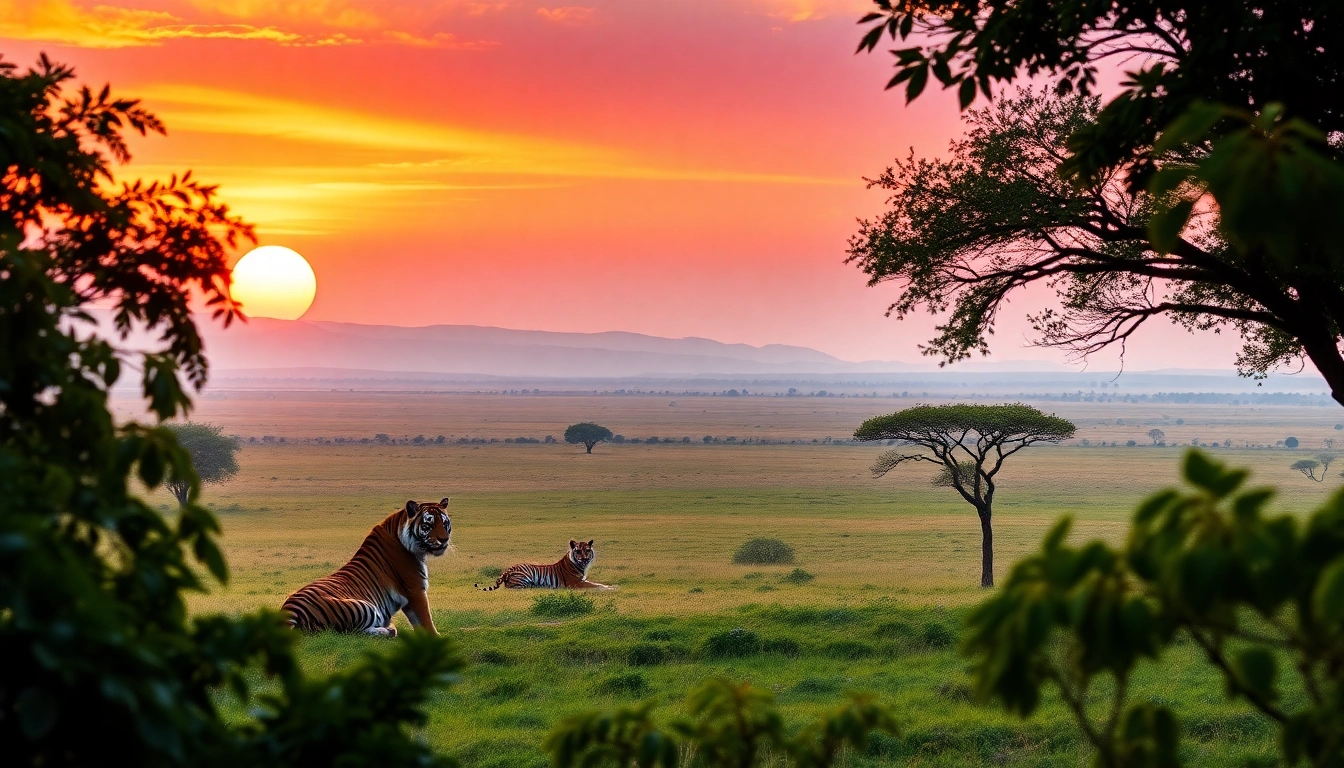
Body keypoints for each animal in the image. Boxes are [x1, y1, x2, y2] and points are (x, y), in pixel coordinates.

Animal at [282, 498, 451, 636]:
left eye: (445, 523)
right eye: (428, 525)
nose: (444, 540)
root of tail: (289, 610)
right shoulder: (415, 589)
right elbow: (425, 618)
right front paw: (435, 638)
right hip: (364, 606)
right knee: (349, 632)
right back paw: (388, 630)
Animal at [475, 539, 616, 591]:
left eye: (587, 550)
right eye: (578, 551)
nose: (585, 559)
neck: (581, 566)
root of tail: (506, 570)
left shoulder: (582, 580)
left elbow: (597, 583)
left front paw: (611, 586)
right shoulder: (576, 583)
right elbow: (595, 585)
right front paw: (612, 588)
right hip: (526, 576)